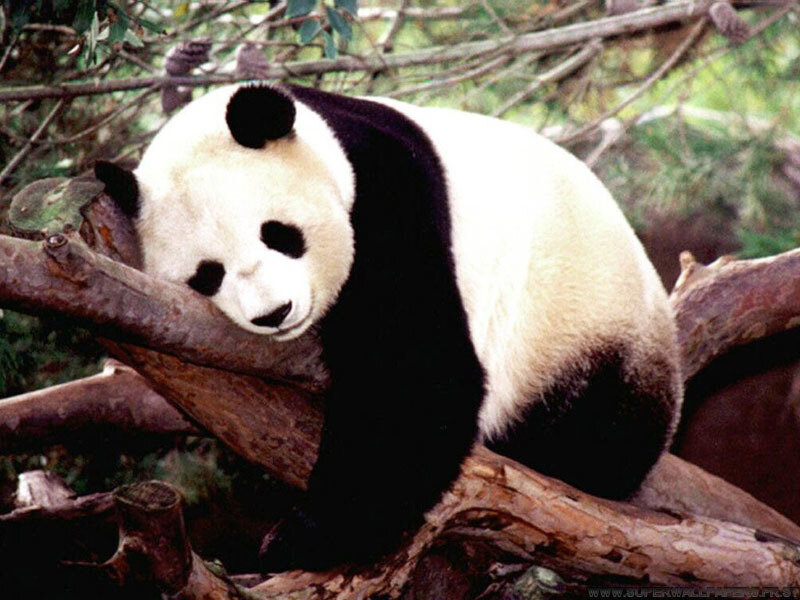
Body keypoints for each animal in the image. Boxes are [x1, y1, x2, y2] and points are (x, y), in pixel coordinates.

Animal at [95, 83, 683, 572]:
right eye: (208, 274)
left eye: (279, 234)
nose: (274, 313)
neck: (326, 141)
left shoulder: (389, 196)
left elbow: (414, 376)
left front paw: (302, 537)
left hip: (583, 325)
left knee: (599, 433)